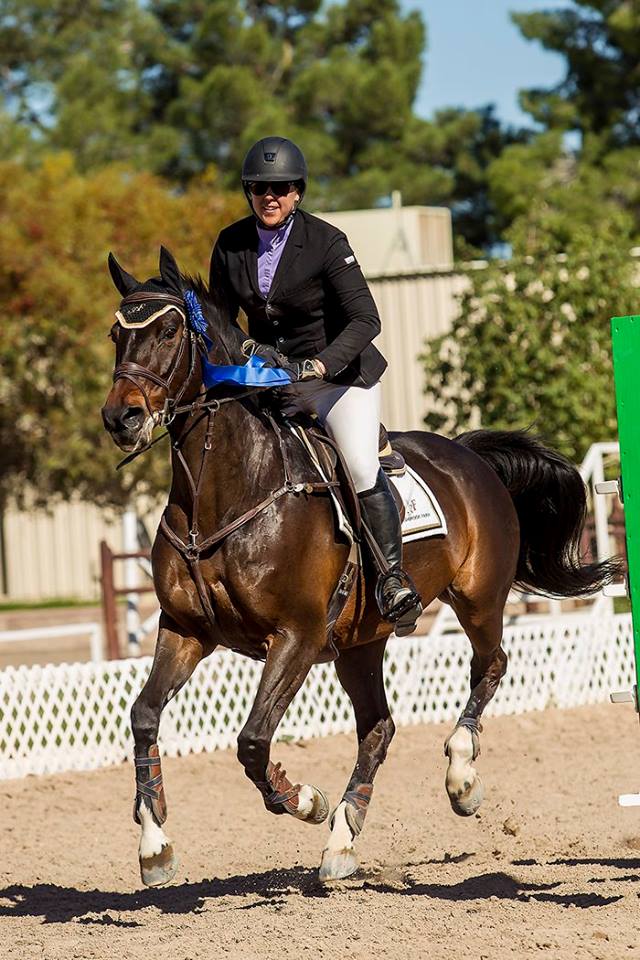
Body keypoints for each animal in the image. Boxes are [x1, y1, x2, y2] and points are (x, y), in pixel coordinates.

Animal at [102, 246, 616, 884]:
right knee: (378, 725)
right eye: (115, 335)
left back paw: (461, 779)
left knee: (491, 664)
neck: (223, 491)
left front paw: (303, 799)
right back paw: (342, 842)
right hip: (359, 642)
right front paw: (154, 844)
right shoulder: (186, 630)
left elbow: (252, 740)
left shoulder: (295, 637)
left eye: (170, 331)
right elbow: (144, 715)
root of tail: (468, 454)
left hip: (477, 598)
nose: (120, 419)